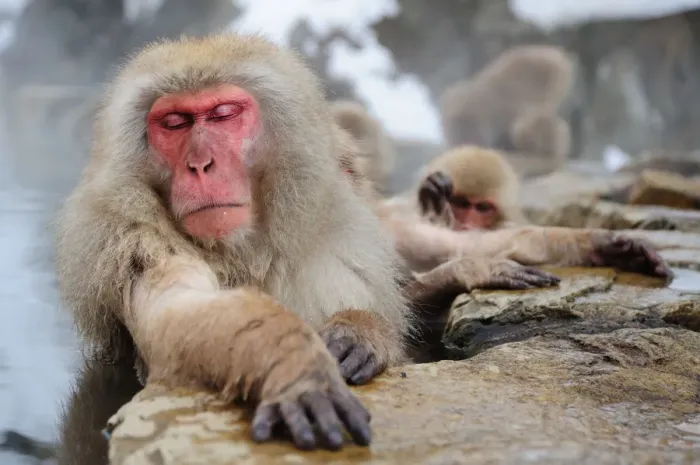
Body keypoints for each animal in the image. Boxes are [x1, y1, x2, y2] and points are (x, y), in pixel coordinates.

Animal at [54, 33, 418, 452]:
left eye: (223, 114)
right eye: (174, 123)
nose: (200, 164)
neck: (243, 252)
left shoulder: (339, 236)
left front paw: (360, 330)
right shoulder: (130, 239)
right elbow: (176, 315)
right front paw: (292, 362)